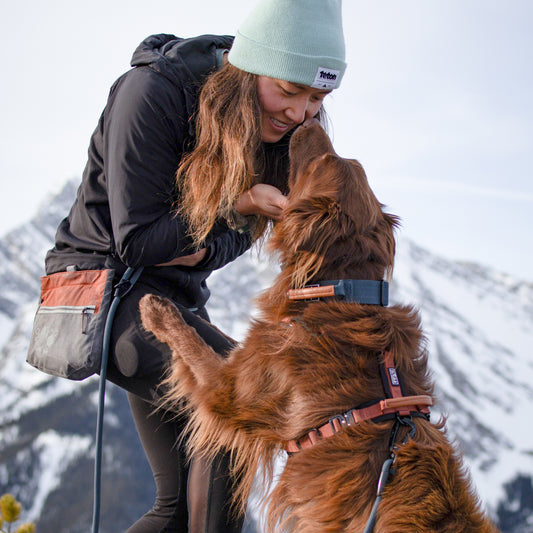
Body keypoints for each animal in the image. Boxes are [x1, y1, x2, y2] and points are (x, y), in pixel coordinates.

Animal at [139, 118, 496, 528]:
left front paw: (157, 310)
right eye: (347, 160)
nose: (308, 121)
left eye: (320, 162)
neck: (339, 293)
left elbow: (194, 348)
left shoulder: (228, 394)